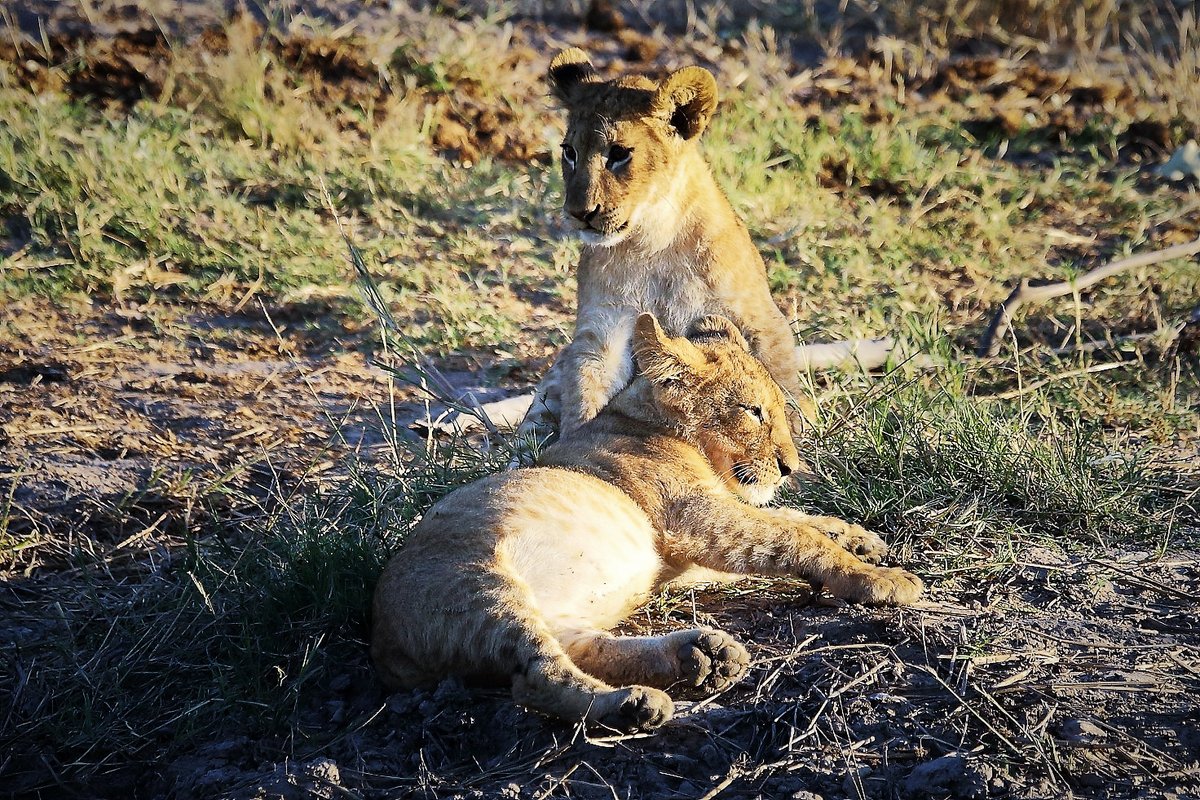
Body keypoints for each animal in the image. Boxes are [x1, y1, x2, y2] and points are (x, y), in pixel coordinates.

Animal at [372, 314, 922, 732]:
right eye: (753, 412)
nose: (790, 467)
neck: (645, 418)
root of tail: (384, 640)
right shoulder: (700, 520)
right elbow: (793, 533)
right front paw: (881, 578)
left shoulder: (693, 550)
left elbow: (792, 518)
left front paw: (864, 540)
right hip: (482, 583)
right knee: (534, 678)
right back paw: (637, 704)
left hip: (557, 613)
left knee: (581, 648)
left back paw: (701, 657)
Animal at [517, 48, 817, 447]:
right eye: (569, 152)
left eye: (619, 153)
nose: (580, 213)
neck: (653, 240)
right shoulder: (603, 329)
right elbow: (586, 393)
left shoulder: (757, 319)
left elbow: (780, 385)